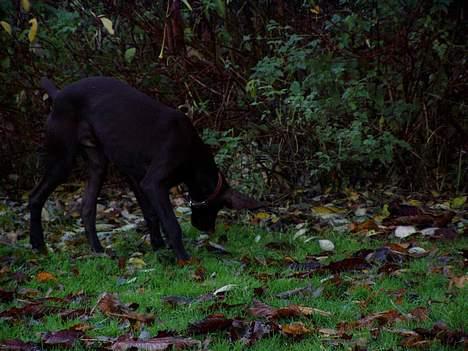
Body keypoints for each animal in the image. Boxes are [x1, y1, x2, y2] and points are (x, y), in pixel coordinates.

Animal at [30, 77, 264, 264]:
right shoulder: (152, 184)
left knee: (87, 208)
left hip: (98, 165)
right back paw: (38, 245)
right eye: (217, 207)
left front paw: (158, 246)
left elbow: (151, 215)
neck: (191, 152)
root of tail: (58, 95)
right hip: (62, 161)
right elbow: (171, 223)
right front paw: (183, 258)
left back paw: (97, 250)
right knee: (35, 197)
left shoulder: (137, 179)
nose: (206, 228)